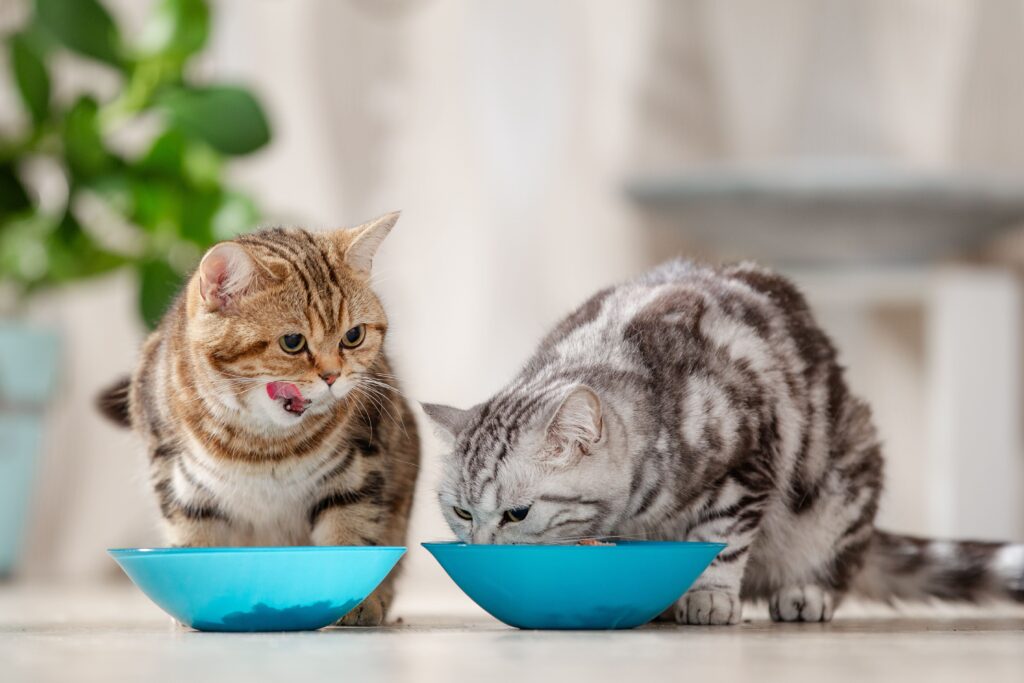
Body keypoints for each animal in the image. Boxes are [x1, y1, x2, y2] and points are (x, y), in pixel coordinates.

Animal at [99, 211, 419, 626]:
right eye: (292, 342)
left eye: (353, 335)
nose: (333, 376)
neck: (261, 442)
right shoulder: (174, 473)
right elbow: (194, 539)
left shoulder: (361, 462)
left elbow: (351, 536)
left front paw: (357, 602)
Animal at [423, 260, 1024, 626]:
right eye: (461, 512)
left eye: (517, 514)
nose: (479, 547)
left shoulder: (750, 465)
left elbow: (723, 540)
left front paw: (709, 596)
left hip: (845, 476)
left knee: (839, 563)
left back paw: (806, 593)